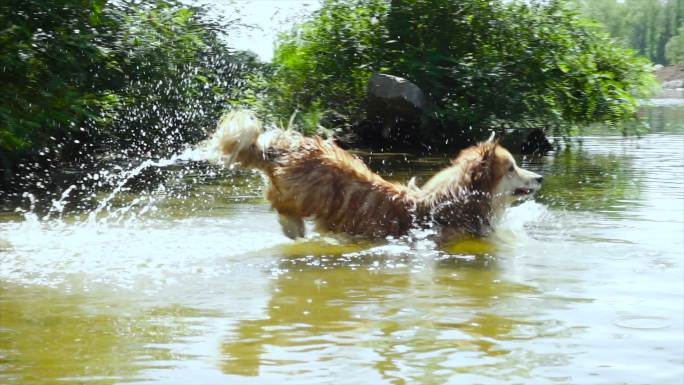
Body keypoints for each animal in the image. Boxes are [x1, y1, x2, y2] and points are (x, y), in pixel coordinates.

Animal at [206, 109, 544, 238]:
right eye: (512, 167)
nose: (540, 178)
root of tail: (281, 151)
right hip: (313, 189)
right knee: (282, 204)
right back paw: (293, 227)